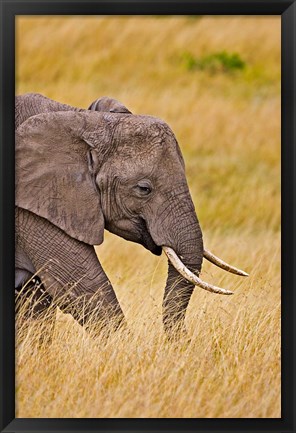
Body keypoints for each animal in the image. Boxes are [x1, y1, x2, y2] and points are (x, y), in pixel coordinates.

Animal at [15, 93, 247, 336]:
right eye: (144, 189)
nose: (184, 340)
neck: (84, 121)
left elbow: (35, 301)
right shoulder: (32, 206)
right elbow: (83, 285)